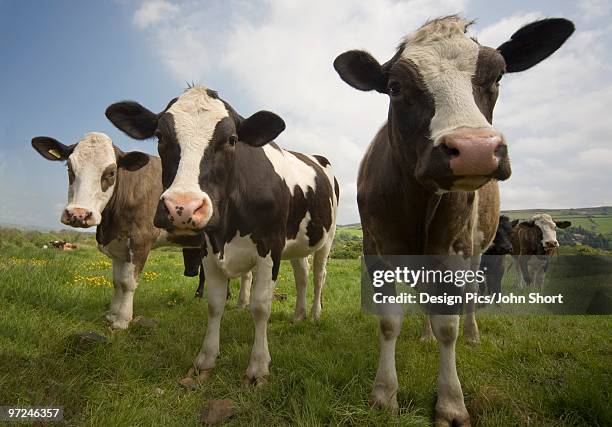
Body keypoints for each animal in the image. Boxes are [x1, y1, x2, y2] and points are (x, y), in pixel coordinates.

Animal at [106, 85, 340, 386]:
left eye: (231, 139)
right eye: (160, 136)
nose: (182, 208)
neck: (228, 227)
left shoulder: (270, 247)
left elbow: (261, 307)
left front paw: (258, 367)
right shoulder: (208, 248)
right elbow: (215, 304)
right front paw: (205, 360)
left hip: (327, 238)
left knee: (319, 275)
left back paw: (314, 314)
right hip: (296, 242)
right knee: (302, 274)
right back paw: (298, 316)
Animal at [332, 15, 572, 426]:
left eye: (498, 76)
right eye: (395, 87)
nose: (474, 150)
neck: (419, 203)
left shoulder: (453, 251)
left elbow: (449, 324)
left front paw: (451, 403)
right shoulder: (376, 249)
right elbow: (389, 320)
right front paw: (384, 393)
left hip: (477, 250)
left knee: (469, 298)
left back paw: (471, 334)